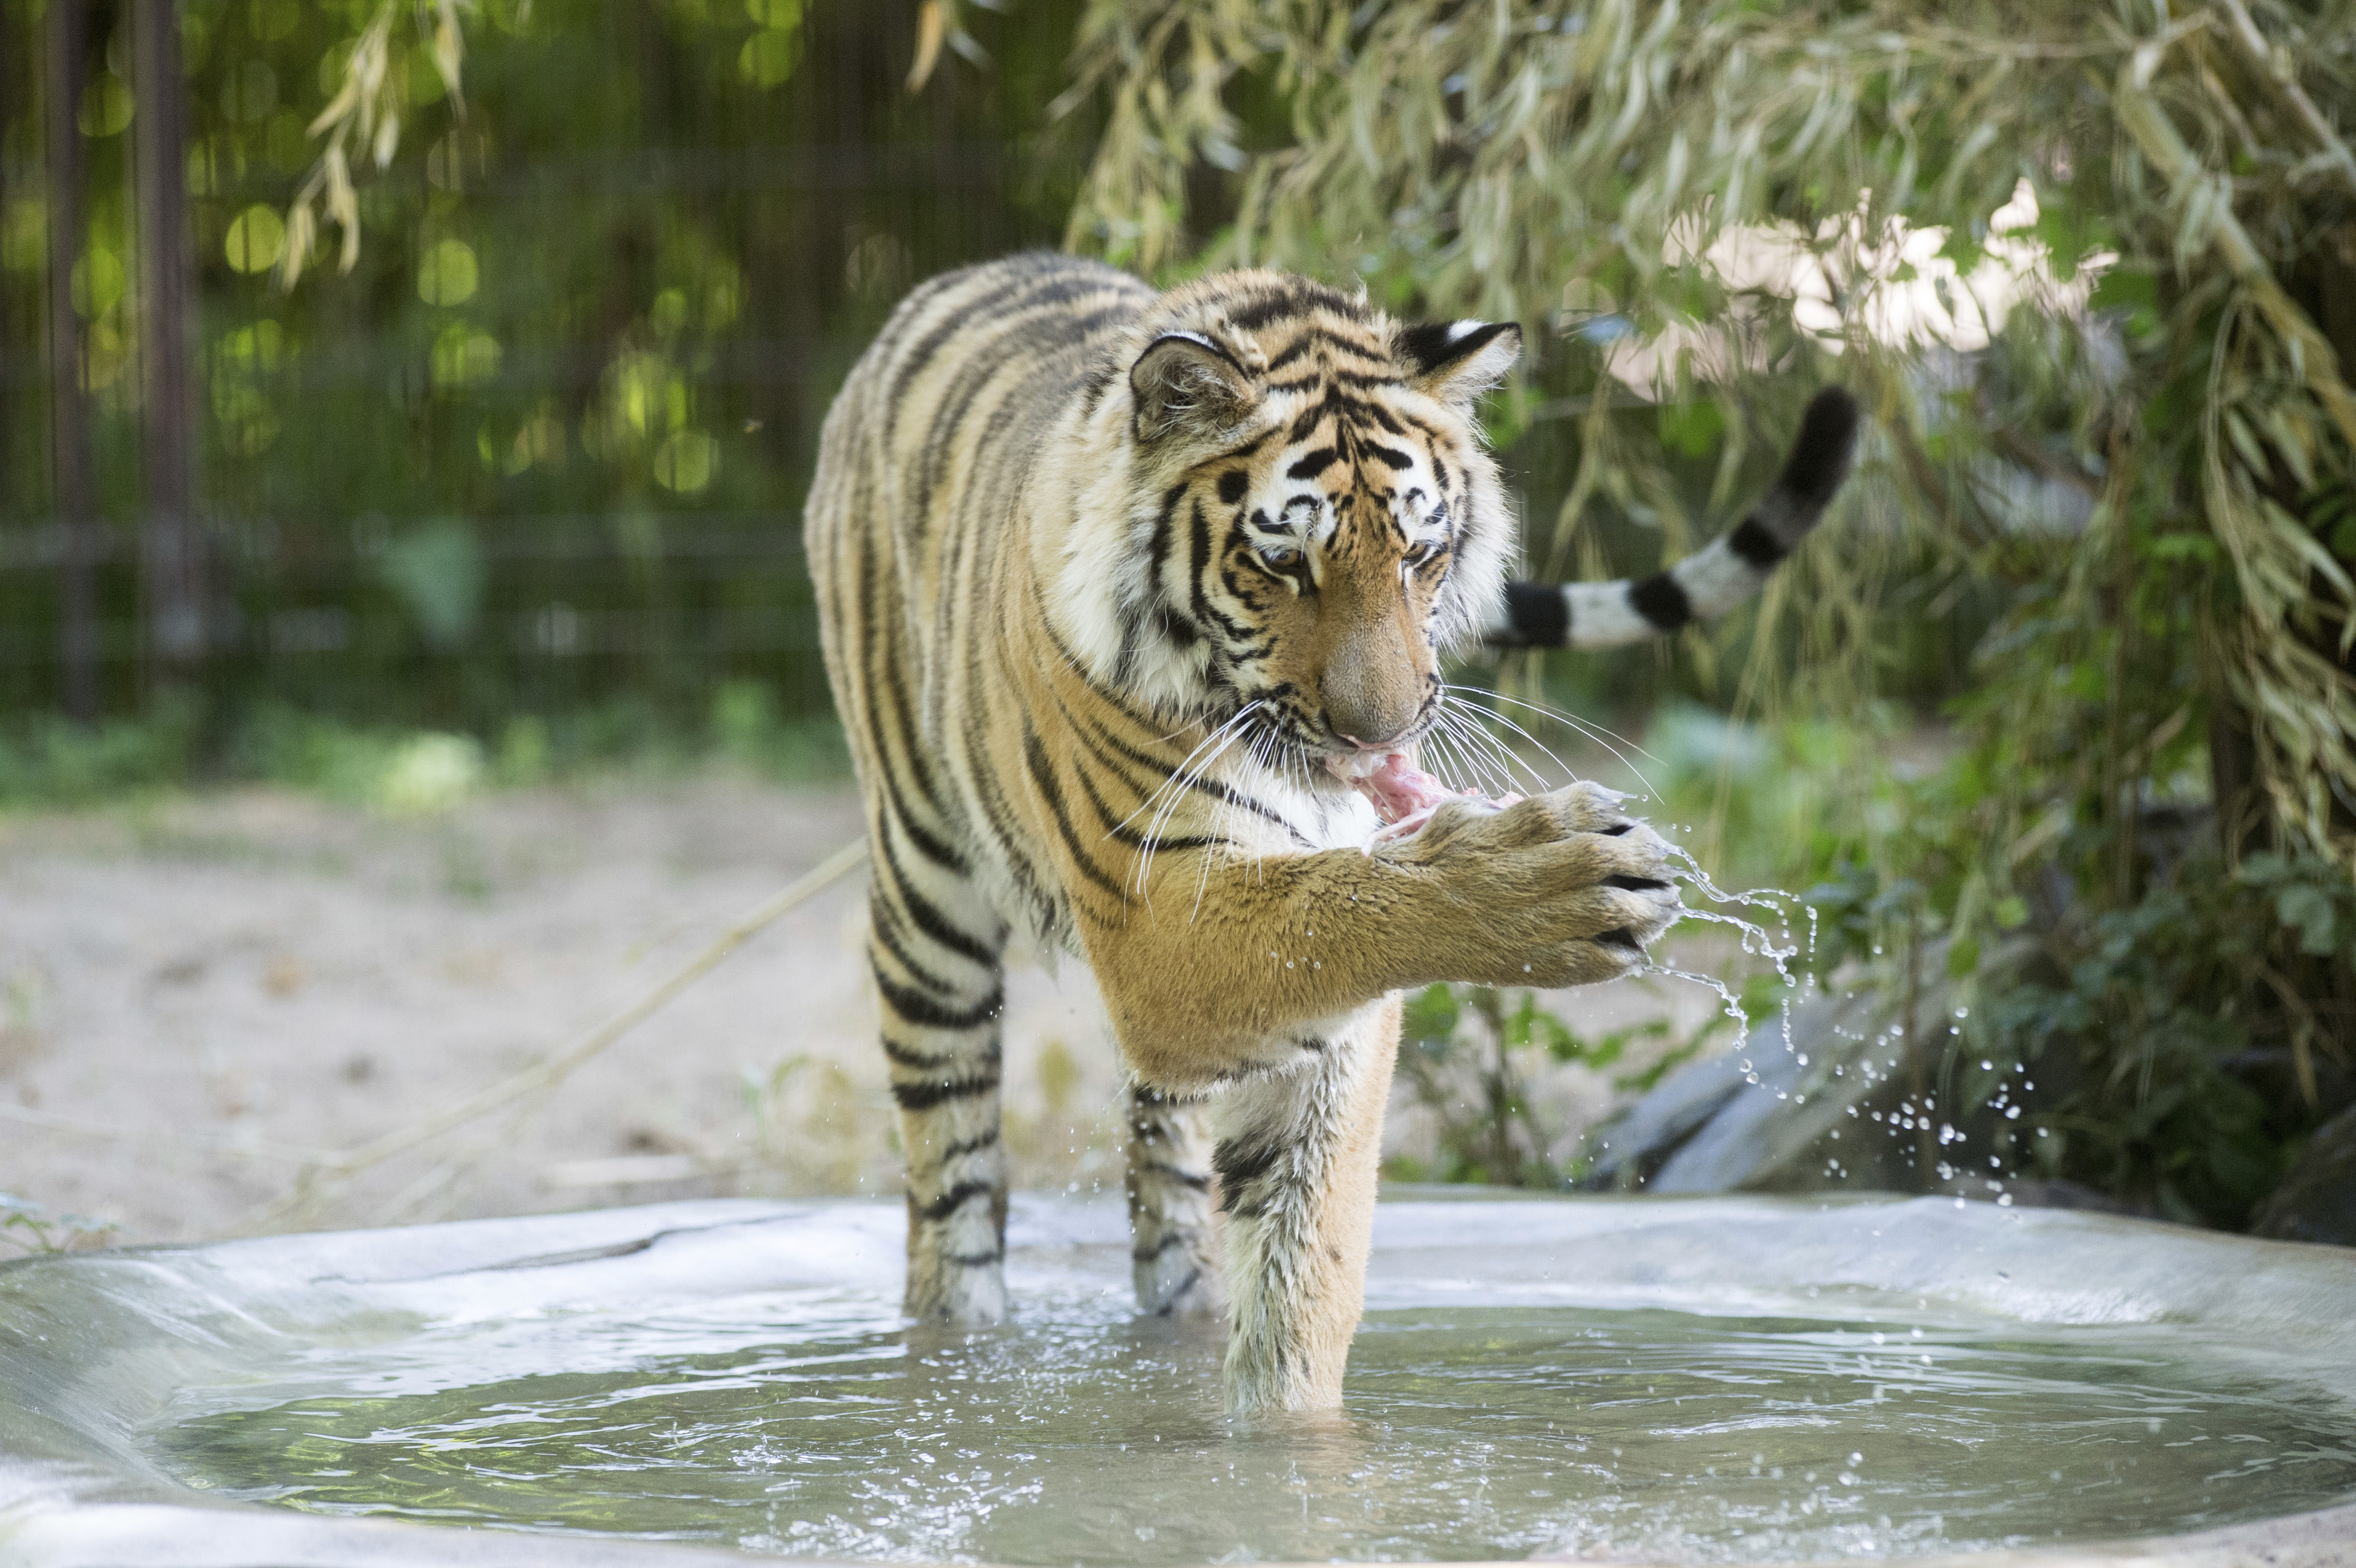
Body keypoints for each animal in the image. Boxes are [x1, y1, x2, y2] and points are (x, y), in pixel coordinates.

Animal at [806, 250, 1856, 1412]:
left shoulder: (1308, 1016)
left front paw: (1287, 1429)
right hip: (925, 902)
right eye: (1281, 564)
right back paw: (953, 1338)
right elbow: (1341, 907)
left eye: (1420, 554)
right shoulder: (1155, 908)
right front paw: (1558, 884)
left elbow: (1309, 1244)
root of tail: (967, 275)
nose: (1383, 731)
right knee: (950, 1182)